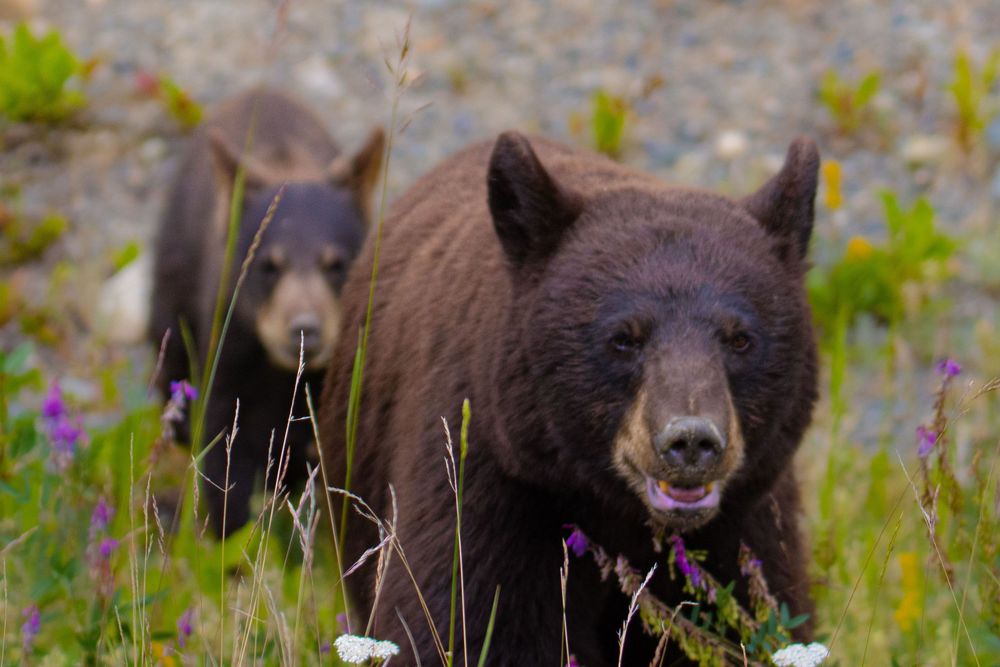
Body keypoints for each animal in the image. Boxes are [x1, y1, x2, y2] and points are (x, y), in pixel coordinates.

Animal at [150, 88, 384, 537]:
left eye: (336, 263)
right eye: (268, 265)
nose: (304, 329)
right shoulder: (228, 352)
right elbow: (224, 448)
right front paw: (235, 535)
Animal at [318, 131, 819, 665]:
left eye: (740, 338)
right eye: (623, 338)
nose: (691, 441)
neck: (623, 519)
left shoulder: (746, 527)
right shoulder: (484, 482)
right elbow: (464, 622)